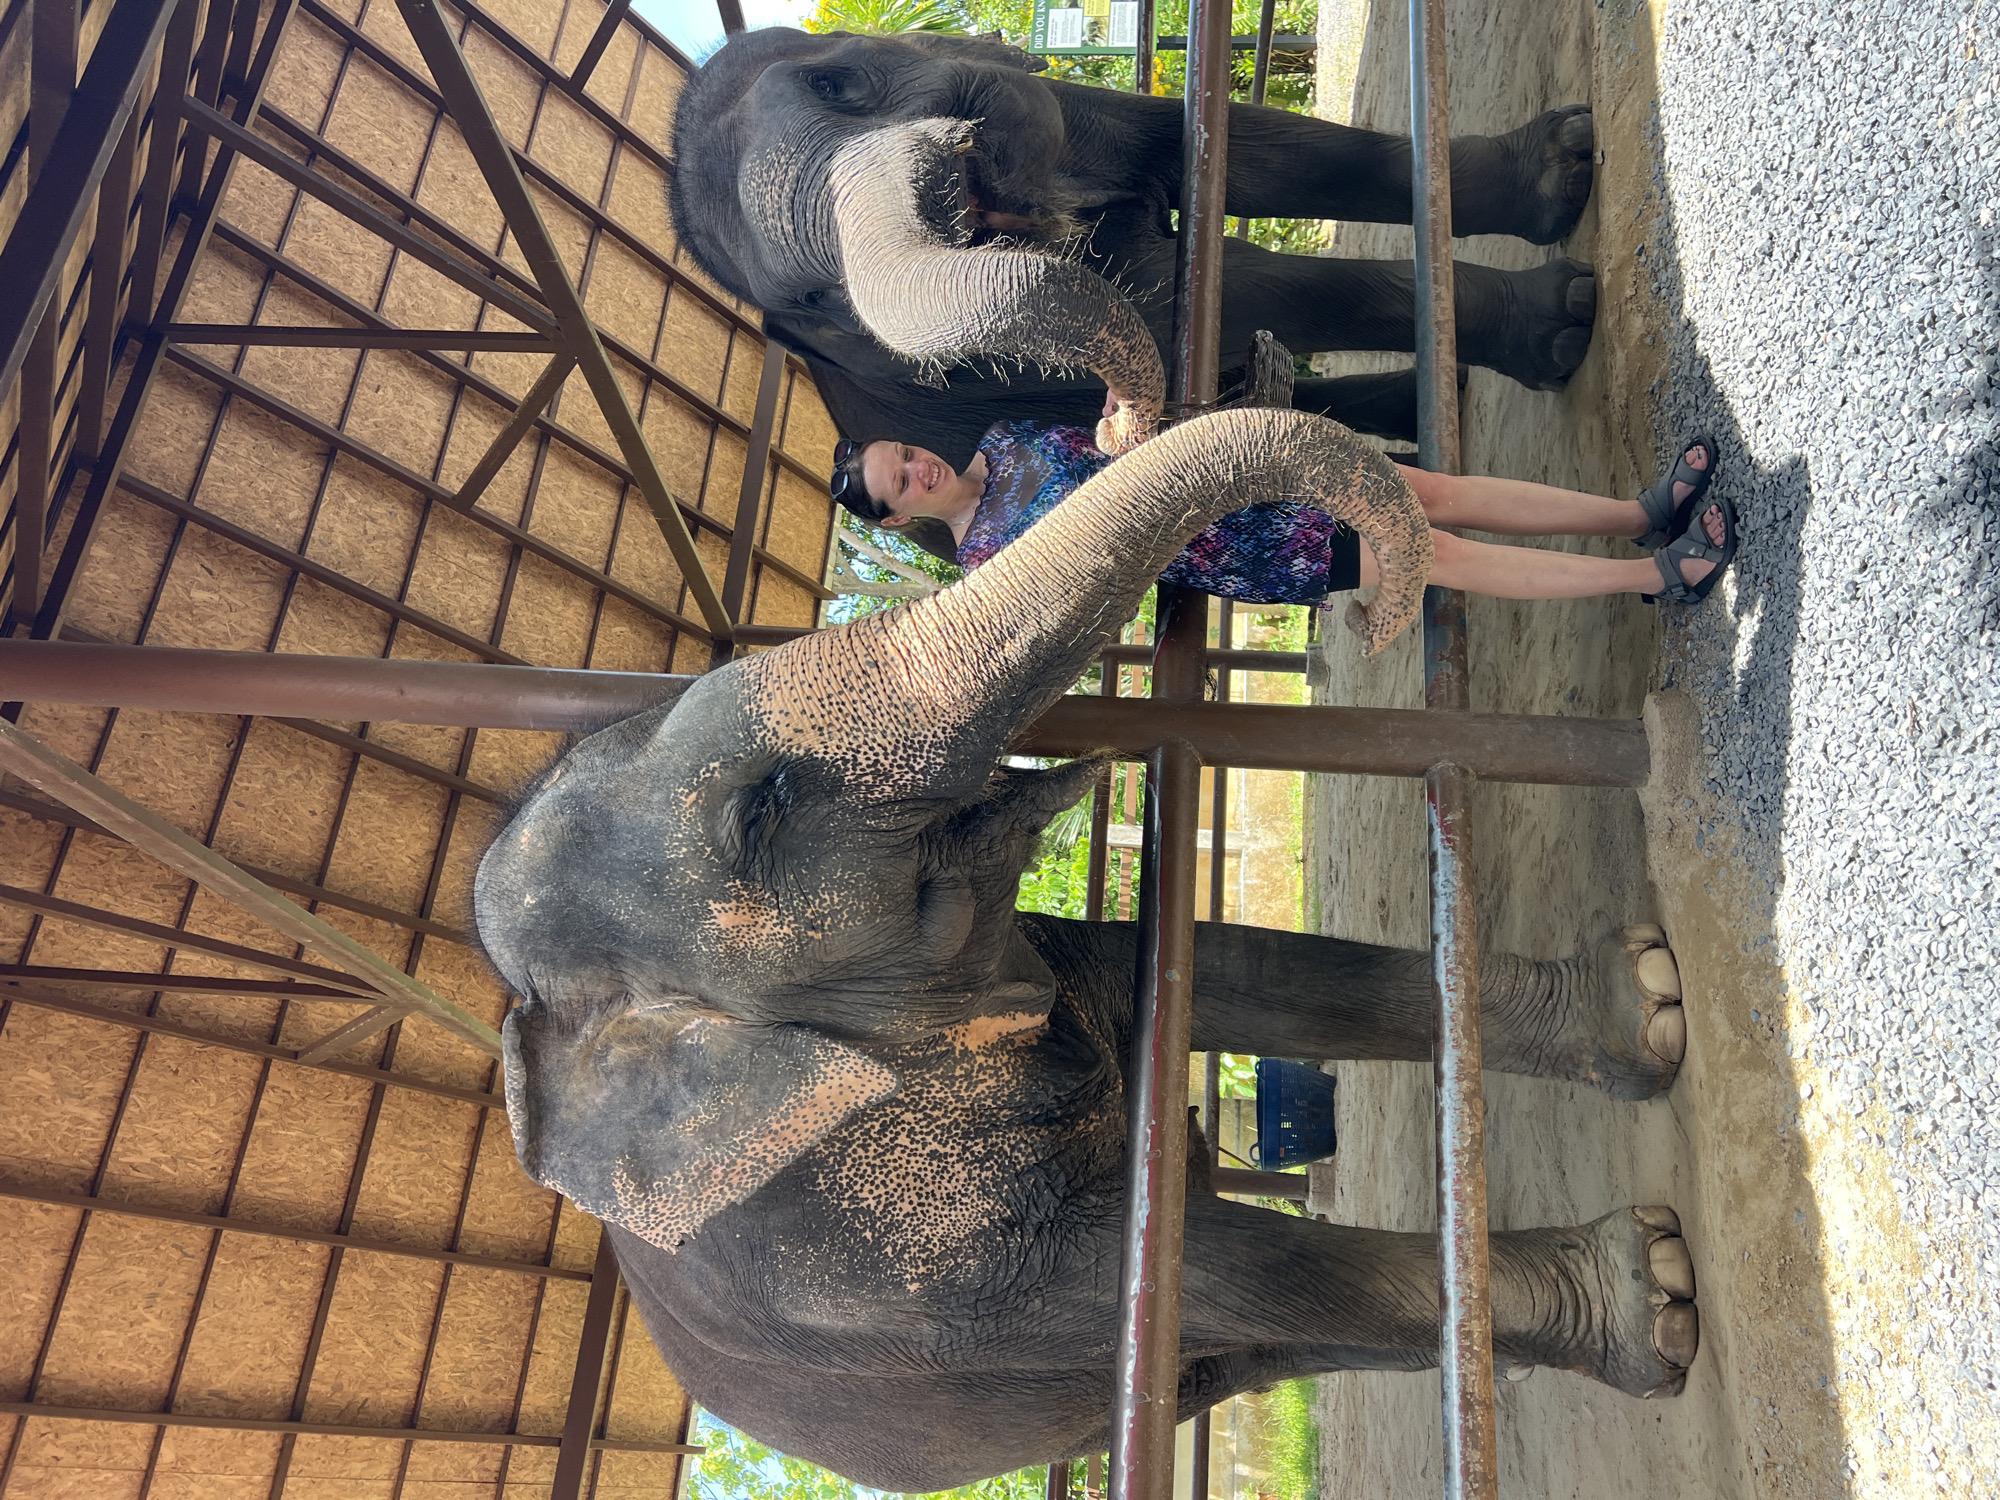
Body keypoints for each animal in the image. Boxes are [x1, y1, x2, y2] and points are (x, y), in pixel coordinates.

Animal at [475, 407, 1699, 1492]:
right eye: (759, 815)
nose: (1377, 613)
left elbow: (1233, 967)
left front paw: (1647, 1002)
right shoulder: (878, 1267)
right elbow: (1191, 1265)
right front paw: (1659, 1296)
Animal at [668, 26, 1602, 465]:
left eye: (839, 85)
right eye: (815, 302)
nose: (1118, 419)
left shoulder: (1078, 110)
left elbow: (1249, 151)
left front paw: (1564, 167)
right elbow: (1236, 296)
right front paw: (1563, 324)